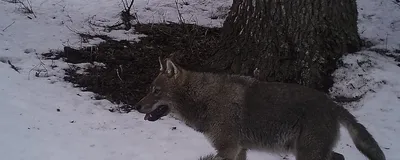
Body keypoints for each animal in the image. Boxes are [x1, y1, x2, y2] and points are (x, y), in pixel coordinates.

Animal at [136, 57, 386, 160]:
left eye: (156, 91)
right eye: (149, 89)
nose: (137, 106)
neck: (204, 99)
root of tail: (333, 104)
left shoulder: (228, 150)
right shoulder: (240, 150)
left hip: (307, 154)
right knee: (340, 157)